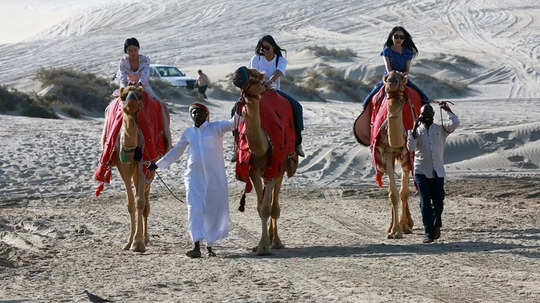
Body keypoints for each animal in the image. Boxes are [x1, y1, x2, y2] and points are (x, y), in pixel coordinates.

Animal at [236, 67, 298, 255]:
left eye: (256, 76)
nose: (237, 74)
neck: (263, 146)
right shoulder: (253, 172)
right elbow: (260, 208)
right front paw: (259, 245)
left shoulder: (274, 169)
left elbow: (267, 208)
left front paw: (265, 246)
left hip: (282, 167)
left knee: (274, 204)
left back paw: (276, 241)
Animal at [374, 72, 416, 240]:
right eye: (386, 78)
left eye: (401, 78)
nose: (391, 82)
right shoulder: (387, 153)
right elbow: (393, 194)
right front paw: (395, 231)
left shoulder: (406, 154)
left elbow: (404, 193)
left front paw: (403, 227)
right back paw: (390, 227)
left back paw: (408, 224)